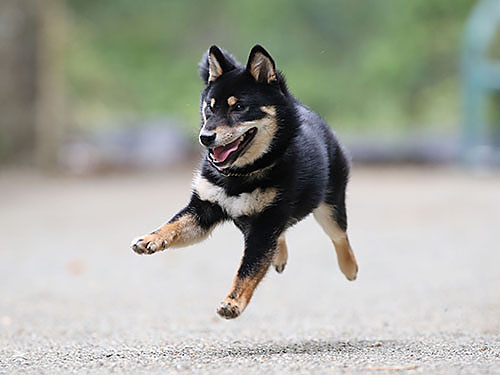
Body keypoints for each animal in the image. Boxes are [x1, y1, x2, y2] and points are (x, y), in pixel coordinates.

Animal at [131, 44, 358, 320]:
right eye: (210, 107)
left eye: (238, 107)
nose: (205, 137)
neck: (240, 175)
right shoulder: (204, 209)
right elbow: (173, 225)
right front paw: (150, 238)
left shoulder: (265, 224)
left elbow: (248, 268)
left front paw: (233, 301)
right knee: (282, 238)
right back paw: (280, 256)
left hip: (329, 208)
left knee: (340, 236)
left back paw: (349, 267)